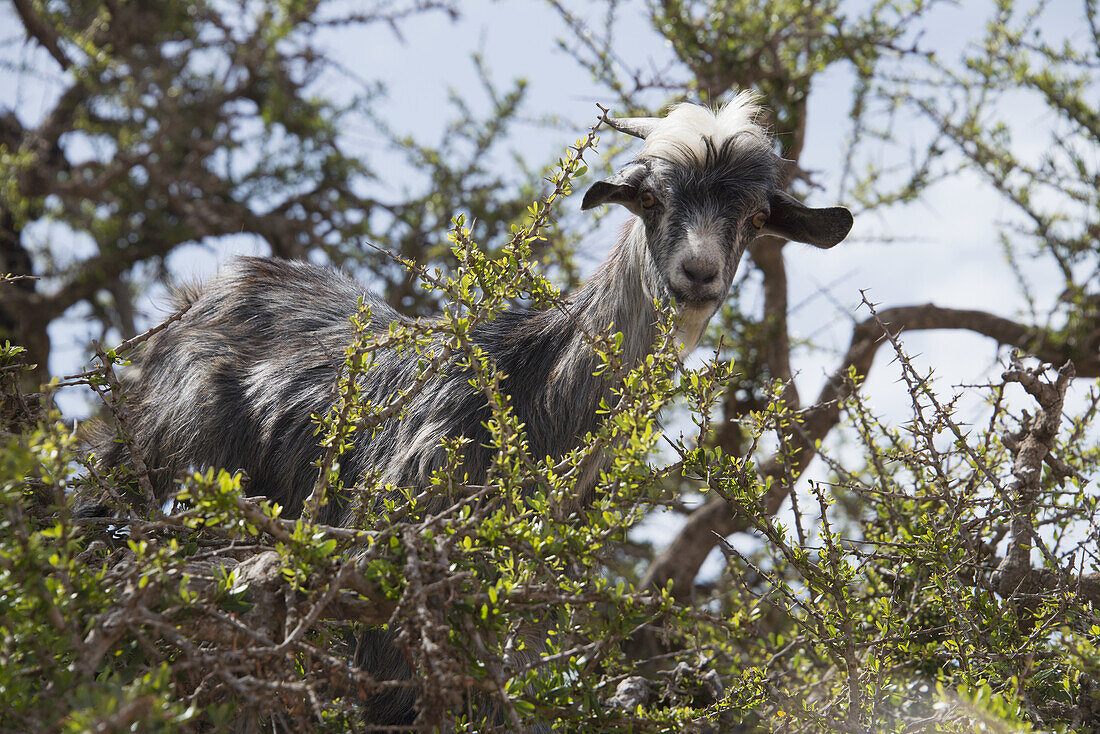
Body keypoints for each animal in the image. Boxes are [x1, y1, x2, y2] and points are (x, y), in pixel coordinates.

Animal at [96, 93, 849, 730]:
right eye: (650, 198)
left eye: (755, 216)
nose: (698, 274)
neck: (533, 393)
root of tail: (206, 293)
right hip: (153, 450)